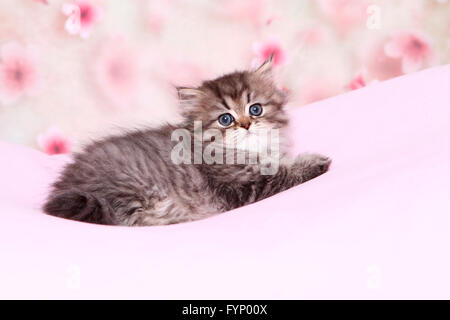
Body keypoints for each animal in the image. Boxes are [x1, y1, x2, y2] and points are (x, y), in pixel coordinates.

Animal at [43, 58, 330, 228]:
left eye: (255, 109)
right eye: (226, 119)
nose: (246, 124)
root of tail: (62, 188)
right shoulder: (243, 186)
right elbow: (284, 174)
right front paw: (316, 161)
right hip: (128, 188)